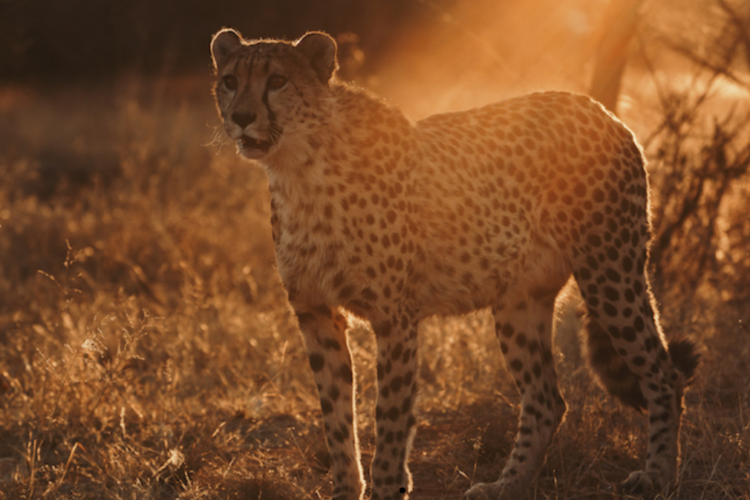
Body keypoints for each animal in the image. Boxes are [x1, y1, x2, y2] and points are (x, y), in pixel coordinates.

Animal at [210, 29, 700, 498]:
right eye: (230, 81)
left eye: (277, 81)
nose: (242, 116)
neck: (299, 170)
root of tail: (599, 110)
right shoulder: (316, 314)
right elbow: (336, 419)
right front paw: (346, 489)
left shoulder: (395, 317)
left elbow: (390, 418)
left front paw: (387, 487)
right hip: (518, 301)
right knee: (546, 400)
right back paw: (507, 486)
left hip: (609, 273)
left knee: (664, 374)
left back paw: (656, 475)